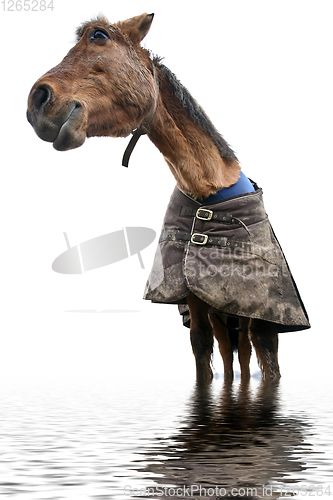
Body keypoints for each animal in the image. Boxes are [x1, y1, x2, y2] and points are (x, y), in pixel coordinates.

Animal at [26, 14, 308, 382]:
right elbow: (201, 348)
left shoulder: (261, 310)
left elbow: (268, 357)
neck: (209, 192)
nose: (37, 101)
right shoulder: (196, 299)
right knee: (232, 355)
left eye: (98, 36)